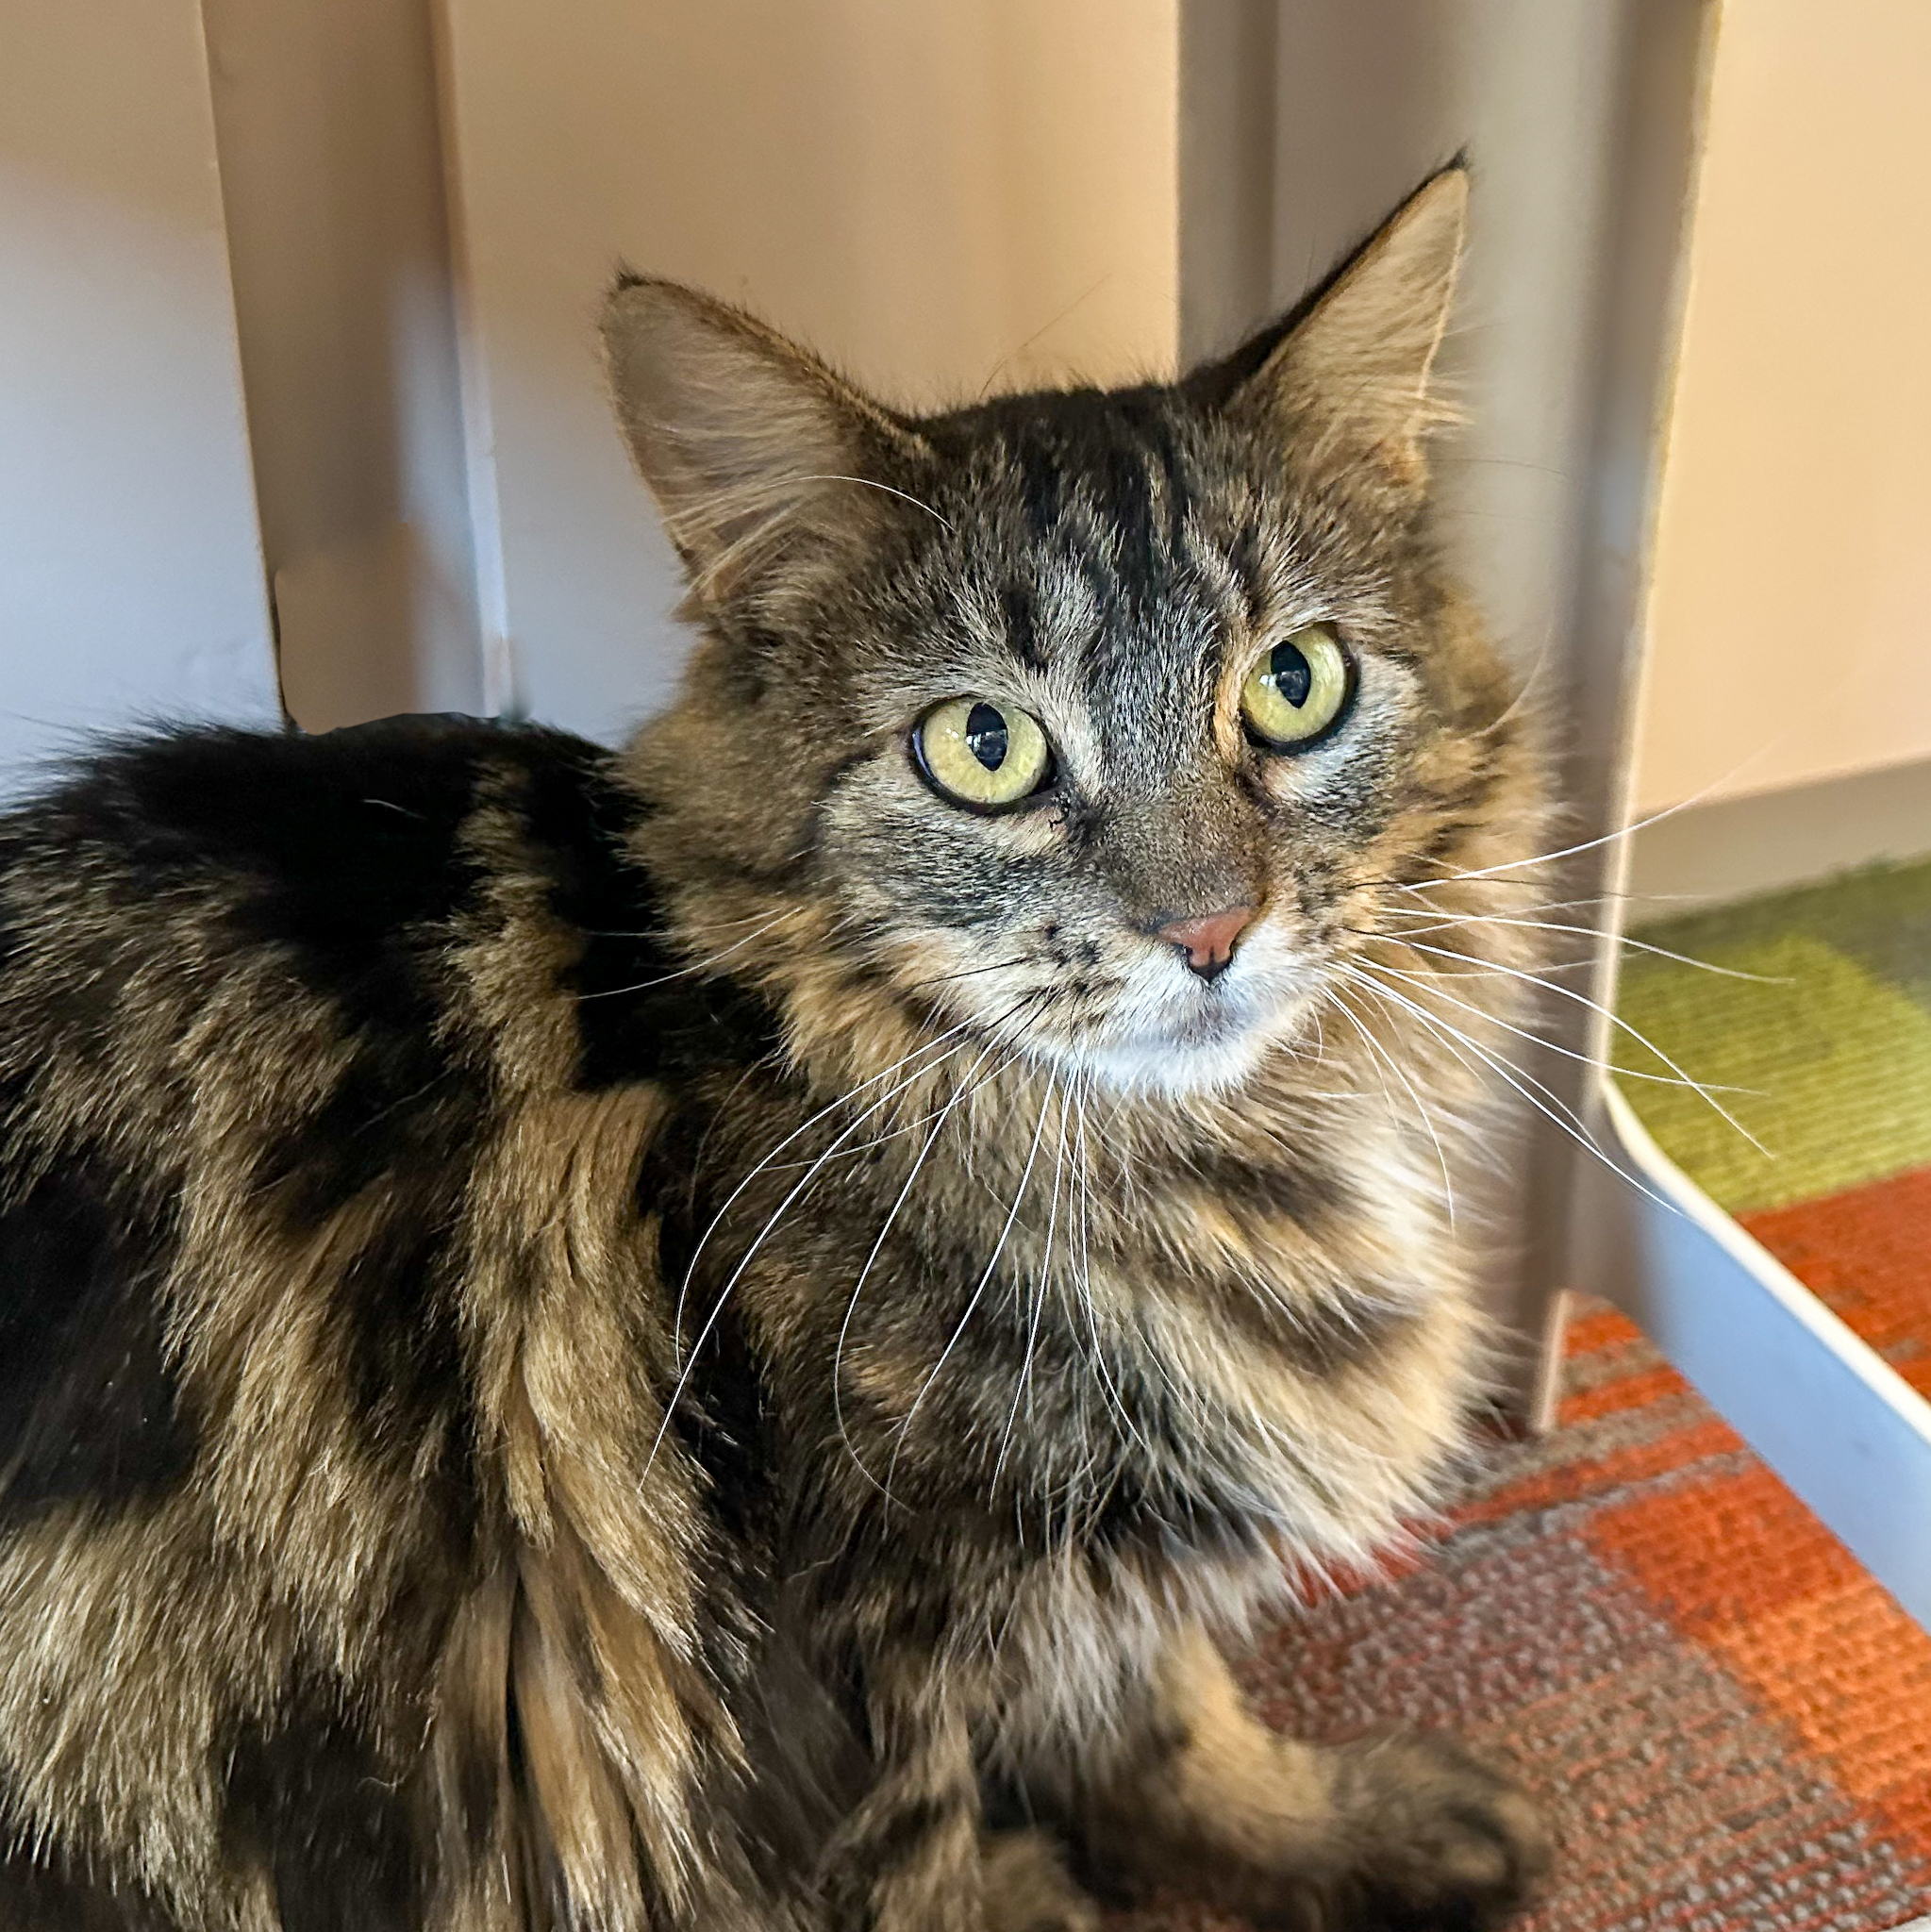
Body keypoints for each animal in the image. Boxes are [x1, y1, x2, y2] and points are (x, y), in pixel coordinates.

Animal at [0, 170, 1552, 1932]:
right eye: (982, 746)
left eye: (1294, 685)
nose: (1209, 928)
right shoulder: (834, 1666)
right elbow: (961, 1860)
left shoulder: (1074, 1579)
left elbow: (1164, 1710)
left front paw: (1327, 1827)